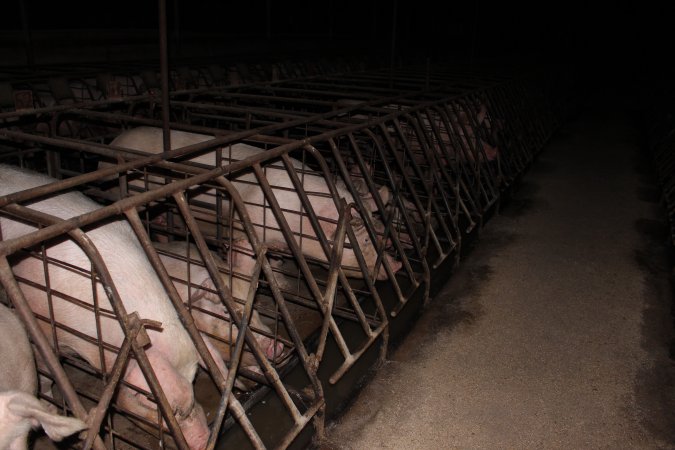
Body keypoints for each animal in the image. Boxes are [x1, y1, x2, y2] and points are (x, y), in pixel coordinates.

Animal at [107, 126, 402, 280]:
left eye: (377, 229)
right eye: (364, 241)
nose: (397, 265)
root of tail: (115, 140)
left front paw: (279, 263)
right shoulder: (244, 223)